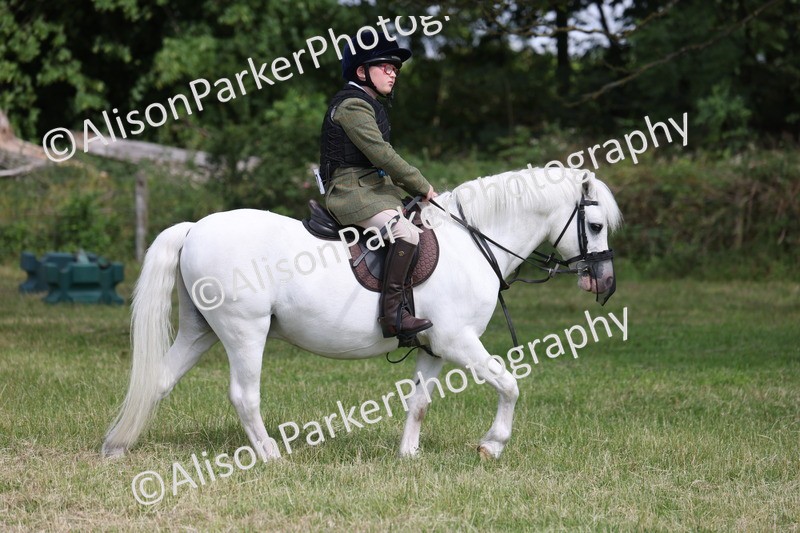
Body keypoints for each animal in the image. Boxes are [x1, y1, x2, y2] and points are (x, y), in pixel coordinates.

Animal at [101, 167, 622, 460]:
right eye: (595, 225)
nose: (605, 283)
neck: (471, 241)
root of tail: (195, 228)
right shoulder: (458, 341)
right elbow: (510, 384)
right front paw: (491, 445)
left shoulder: (433, 346)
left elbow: (420, 401)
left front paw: (408, 456)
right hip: (244, 332)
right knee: (244, 396)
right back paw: (269, 455)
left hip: (199, 331)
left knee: (159, 380)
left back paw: (117, 446)